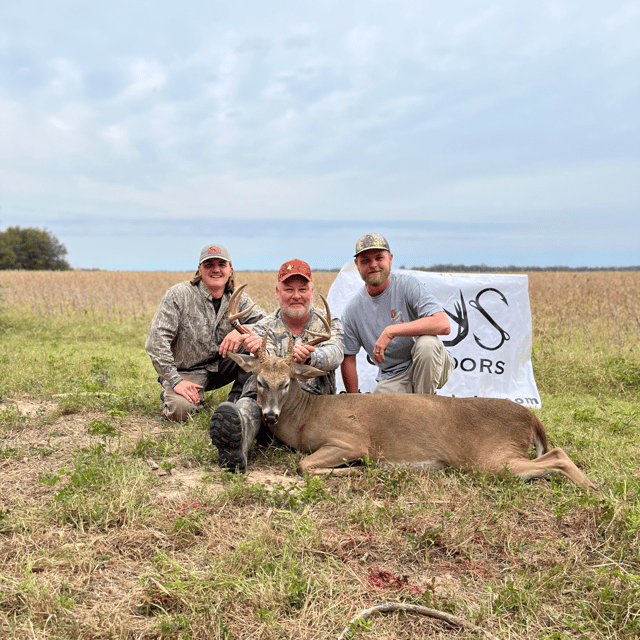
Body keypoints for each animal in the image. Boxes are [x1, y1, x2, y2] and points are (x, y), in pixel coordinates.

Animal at [224, 284, 596, 490]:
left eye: (286, 382)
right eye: (260, 381)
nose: (270, 415)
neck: (305, 418)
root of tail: (531, 418)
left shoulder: (351, 440)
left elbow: (305, 466)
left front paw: (357, 470)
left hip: (492, 457)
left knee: (558, 455)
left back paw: (591, 487)